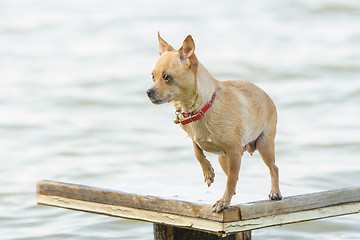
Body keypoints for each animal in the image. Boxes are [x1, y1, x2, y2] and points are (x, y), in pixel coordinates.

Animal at [146, 33, 282, 212]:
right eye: (152, 77)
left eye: (166, 77)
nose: (148, 92)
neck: (200, 108)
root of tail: (268, 96)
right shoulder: (197, 139)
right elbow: (198, 152)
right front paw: (208, 172)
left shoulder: (234, 152)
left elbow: (231, 180)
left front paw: (223, 202)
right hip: (223, 159)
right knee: (233, 175)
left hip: (264, 145)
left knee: (273, 168)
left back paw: (275, 192)